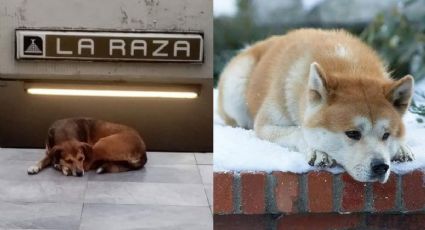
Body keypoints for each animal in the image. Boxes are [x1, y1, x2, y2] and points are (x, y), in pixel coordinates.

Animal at [217, 29, 412, 183]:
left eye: (386, 135)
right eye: (352, 133)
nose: (381, 167)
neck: (350, 68)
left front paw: (401, 148)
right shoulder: (266, 125)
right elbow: (298, 131)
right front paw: (317, 152)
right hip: (236, 88)